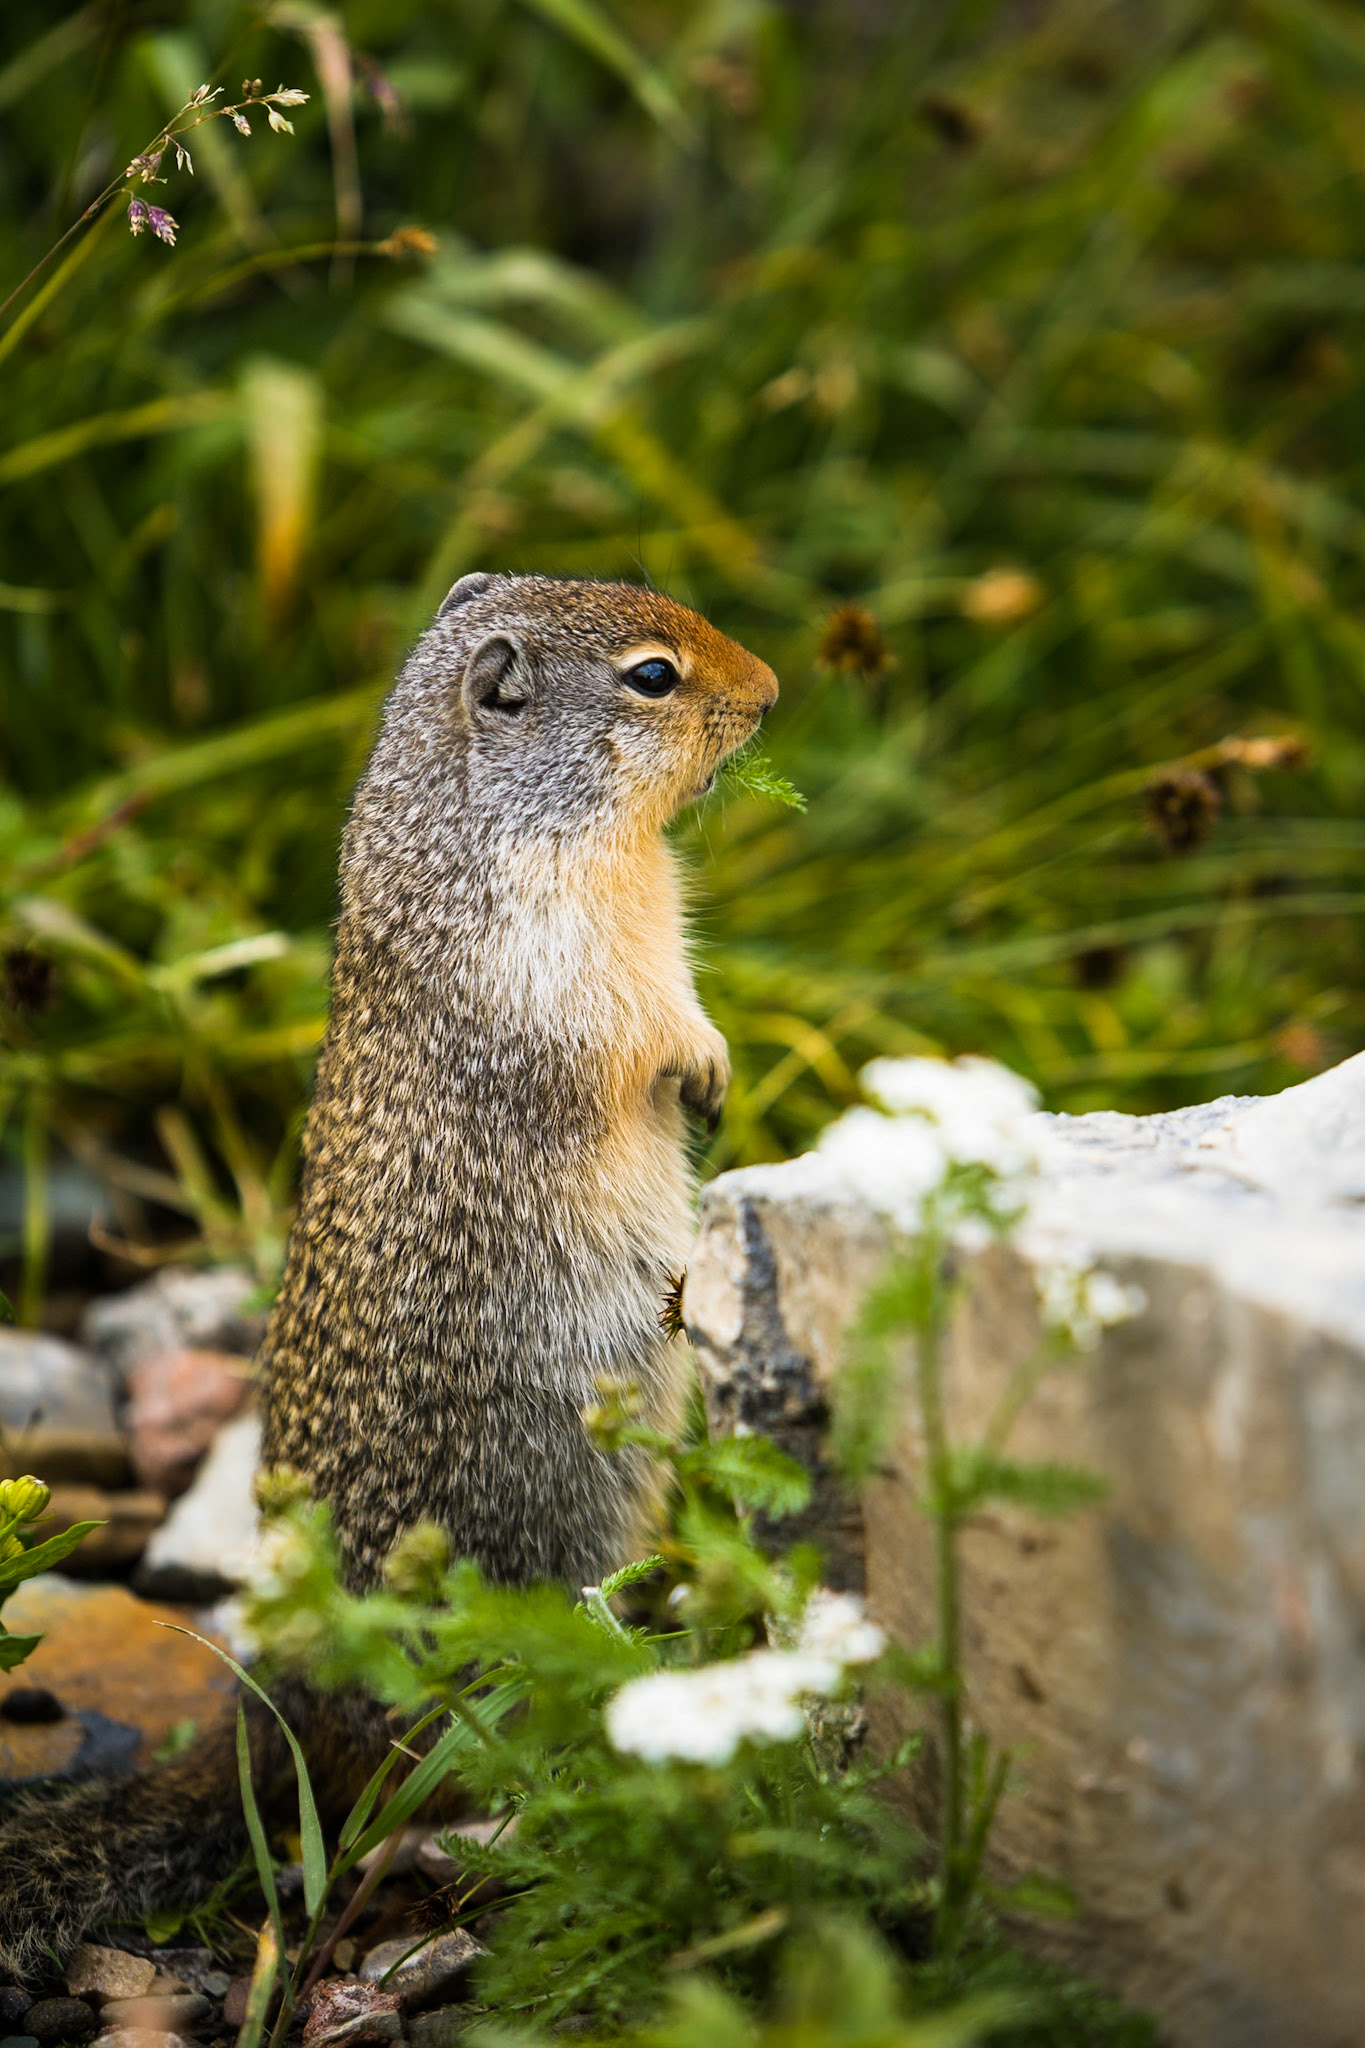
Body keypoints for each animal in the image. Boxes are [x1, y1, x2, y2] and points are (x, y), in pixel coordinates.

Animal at [0, 572, 778, 1980]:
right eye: (653, 673)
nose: (775, 690)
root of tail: (280, 1726)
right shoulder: (569, 969)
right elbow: (641, 1032)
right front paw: (705, 1070)